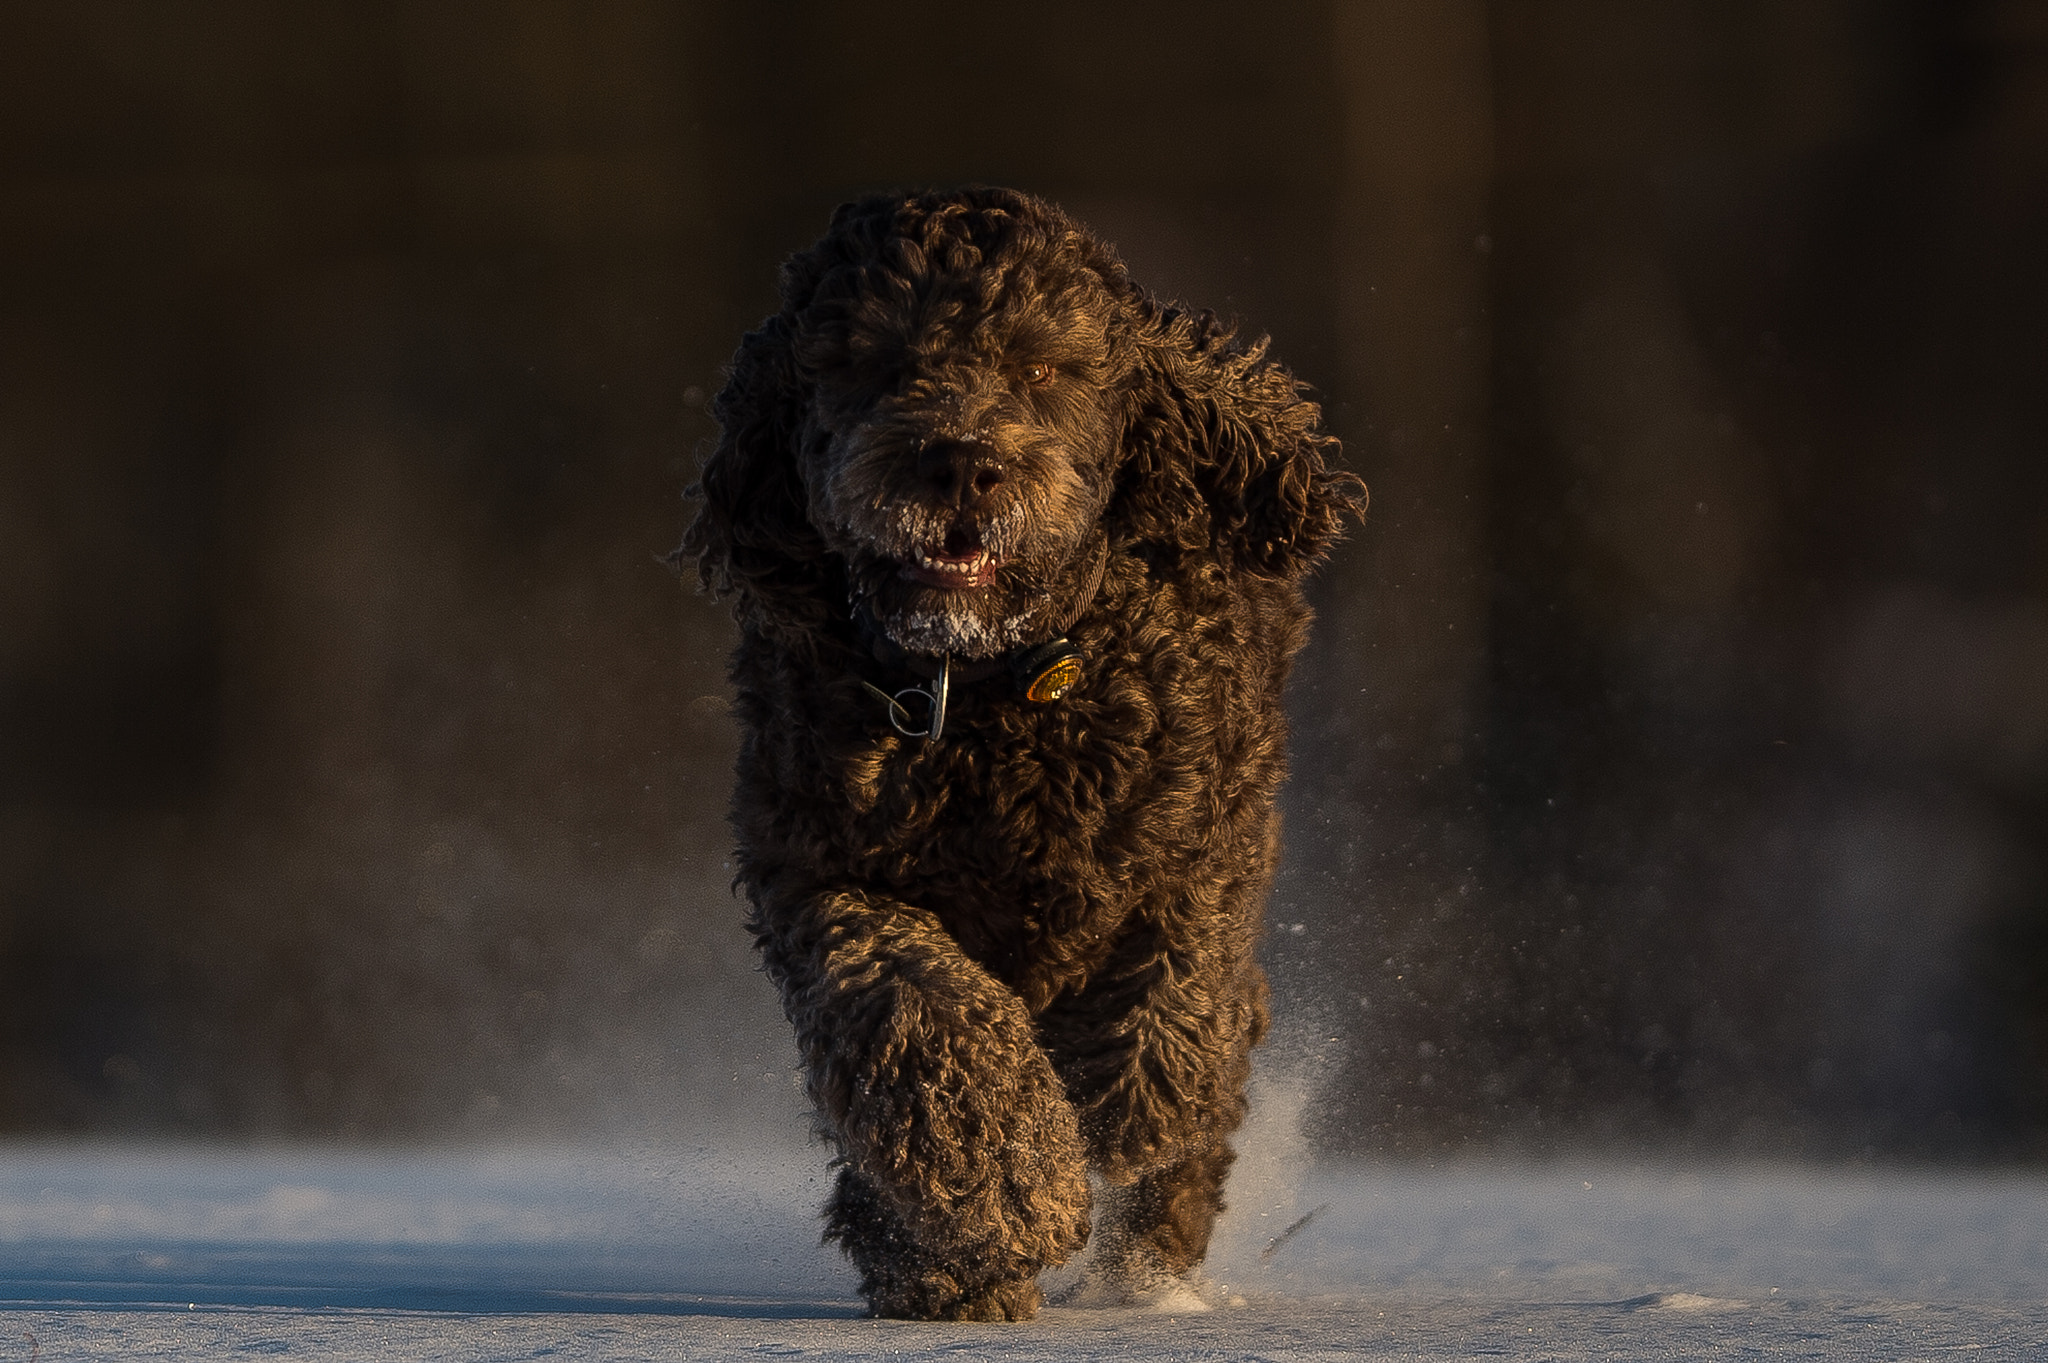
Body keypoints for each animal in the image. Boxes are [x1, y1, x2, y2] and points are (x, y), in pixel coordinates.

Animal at [679, 188, 1368, 1317]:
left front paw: (1128, 1114)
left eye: (1043, 368)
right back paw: (935, 1266)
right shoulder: (818, 872)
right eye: (873, 363)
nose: (960, 461)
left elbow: (1175, 991)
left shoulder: (1199, 833)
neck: (988, 692)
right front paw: (1012, 1183)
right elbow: (913, 1010)